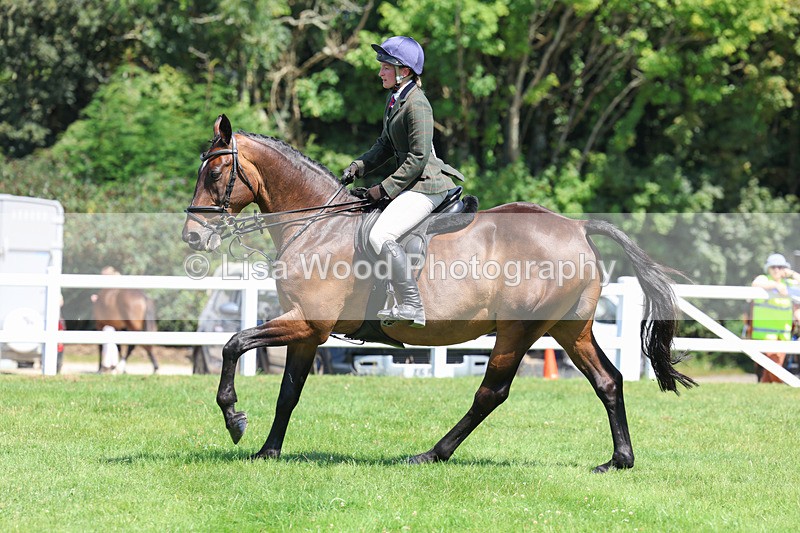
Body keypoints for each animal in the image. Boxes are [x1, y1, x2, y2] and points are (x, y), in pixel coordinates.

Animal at [182, 114, 695, 472]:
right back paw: (619, 460)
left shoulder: (307, 322)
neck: (318, 226)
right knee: (608, 381)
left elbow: (233, 344)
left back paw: (432, 454)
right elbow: (288, 391)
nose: (192, 237)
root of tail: (577, 227)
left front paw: (233, 419)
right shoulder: (306, 330)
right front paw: (267, 452)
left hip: (519, 329)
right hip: (571, 329)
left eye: (215, 175)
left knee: (492, 392)